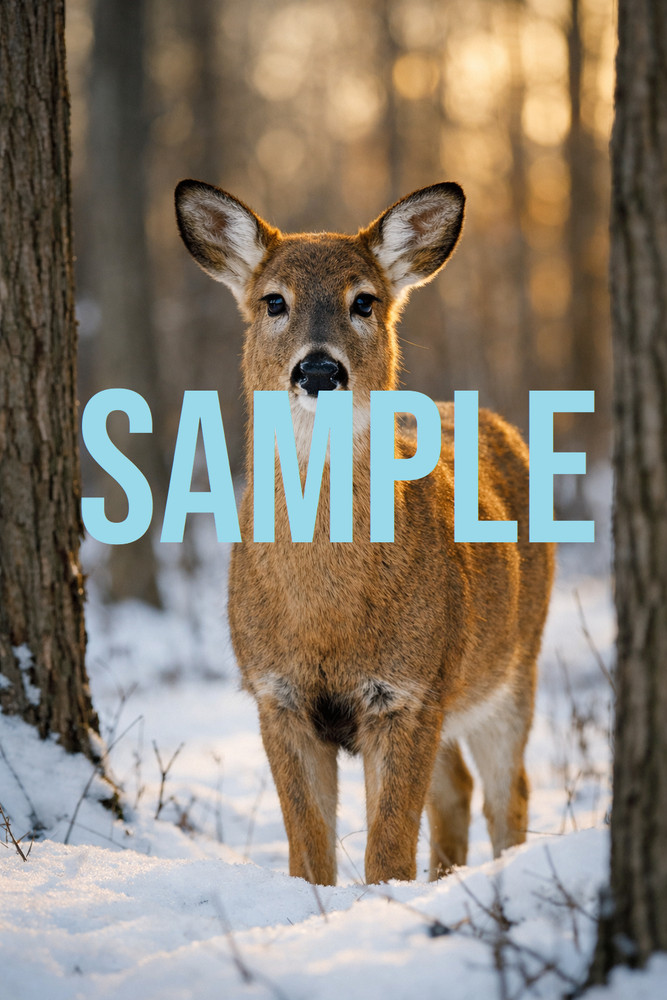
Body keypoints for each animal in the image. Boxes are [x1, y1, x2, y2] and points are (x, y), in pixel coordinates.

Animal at [175, 178, 555, 886]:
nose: (319, 370)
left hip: (512, 663)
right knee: (458, 790)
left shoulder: (409, 690)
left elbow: (388, 853)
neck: (328, 618)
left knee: (507, 790)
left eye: (364, 301)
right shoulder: (275, 694)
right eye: (274, 300)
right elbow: (309, 854)